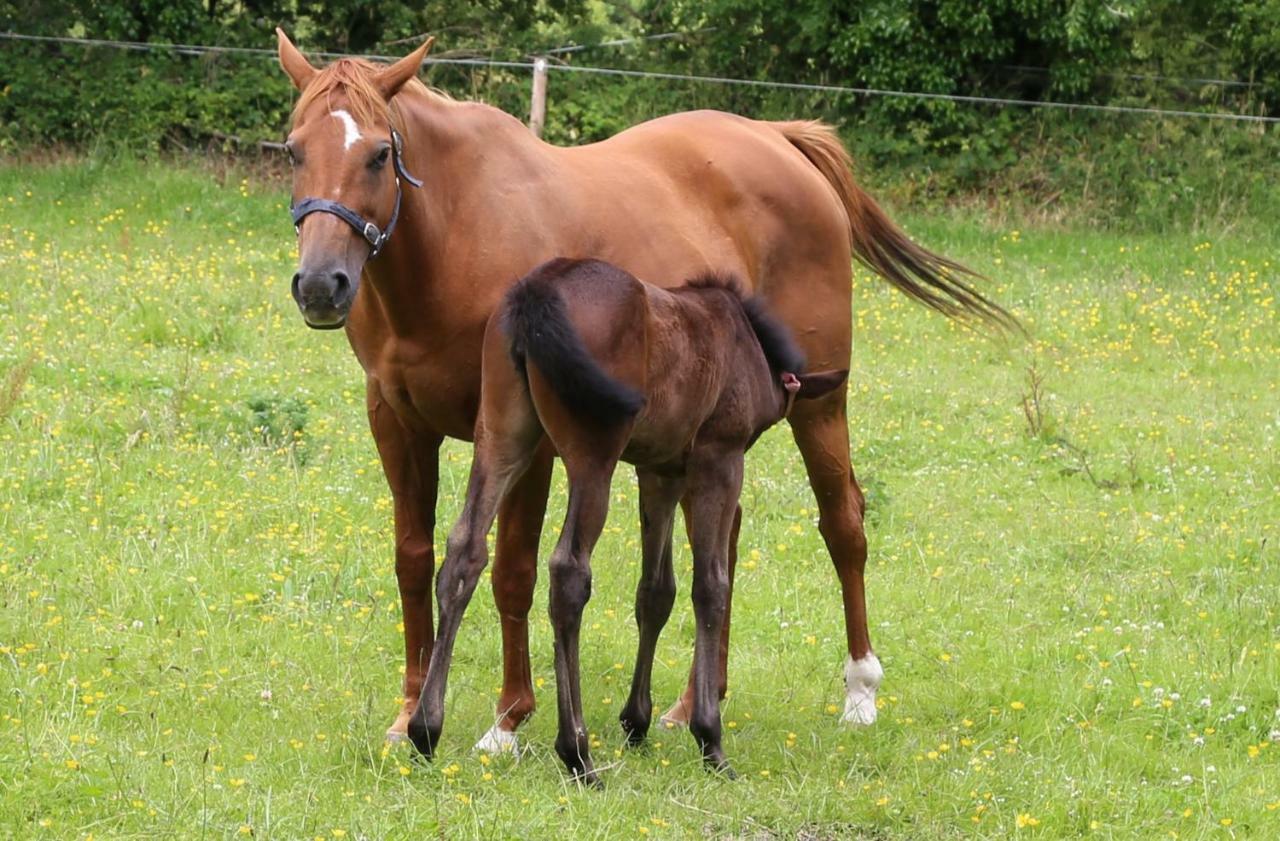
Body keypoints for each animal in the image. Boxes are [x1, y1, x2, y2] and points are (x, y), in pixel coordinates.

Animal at [412, 258, 849, 783]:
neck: (745, 341)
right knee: (568, 572)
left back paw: (425, 730)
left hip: (501, 435)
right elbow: (711, 586)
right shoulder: (718, 459)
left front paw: (636, 722)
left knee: (464, 552)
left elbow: (655, 591)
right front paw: (709, 737)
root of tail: (537, 292)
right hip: (592, 455)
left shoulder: (659, 472)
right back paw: (577, 753)